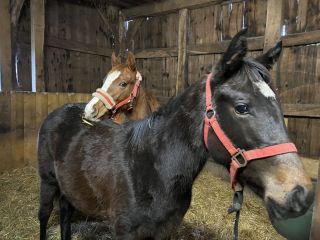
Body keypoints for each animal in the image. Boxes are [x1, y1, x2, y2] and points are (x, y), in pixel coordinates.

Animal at [37, 30, 312, 240]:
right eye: (241, 107)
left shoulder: (164, 231)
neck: (150, 166)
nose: (300, 194)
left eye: (279, 106)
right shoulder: (124, 232)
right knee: (44, 215)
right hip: (48, 183)